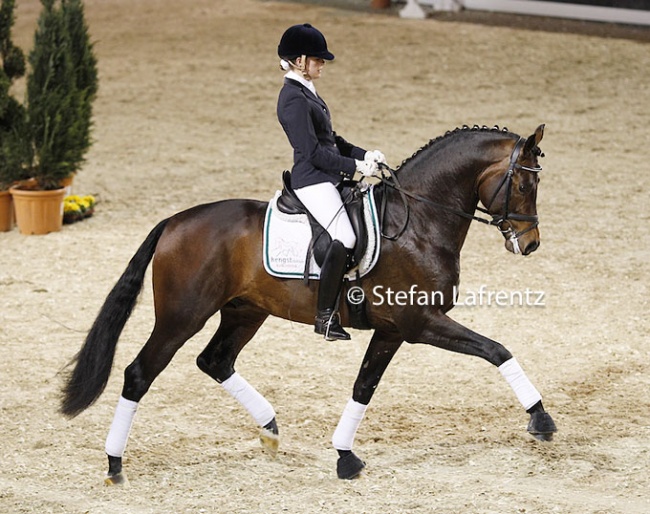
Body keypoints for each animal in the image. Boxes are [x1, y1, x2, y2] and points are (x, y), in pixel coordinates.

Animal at [60, 123, 556, 480]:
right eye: (523, 186)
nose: (530, 244)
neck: (417, 221)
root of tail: (173, 222)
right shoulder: (420, 323)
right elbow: (497, 350)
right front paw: (541, 419)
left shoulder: (392, 330)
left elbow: (363, 387)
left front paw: (345, 456)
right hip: (182, 317)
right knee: (139, 374)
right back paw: (114, 464)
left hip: (245, 312)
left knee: (215, 361)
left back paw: (270, 430)